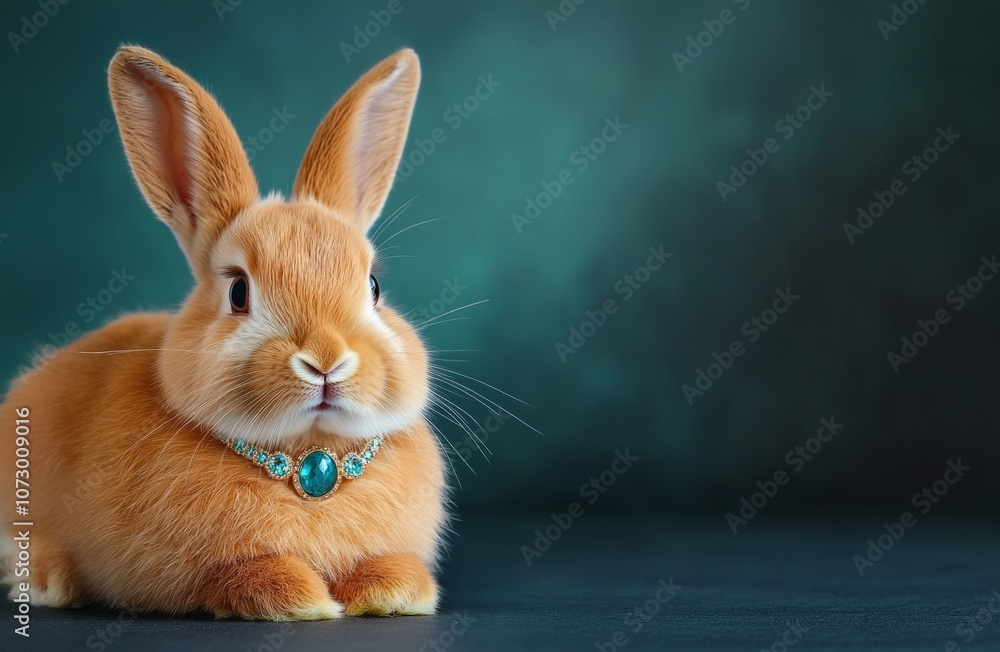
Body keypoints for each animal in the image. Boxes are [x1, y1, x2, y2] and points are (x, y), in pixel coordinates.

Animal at [0, 46, 448, 620]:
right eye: (238, 292)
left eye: (373, 286)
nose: (327, 358)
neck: (307, 453)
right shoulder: (187, 572)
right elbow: (236, 574)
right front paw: (301, 598)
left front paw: (395, 590)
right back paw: (48, 579)